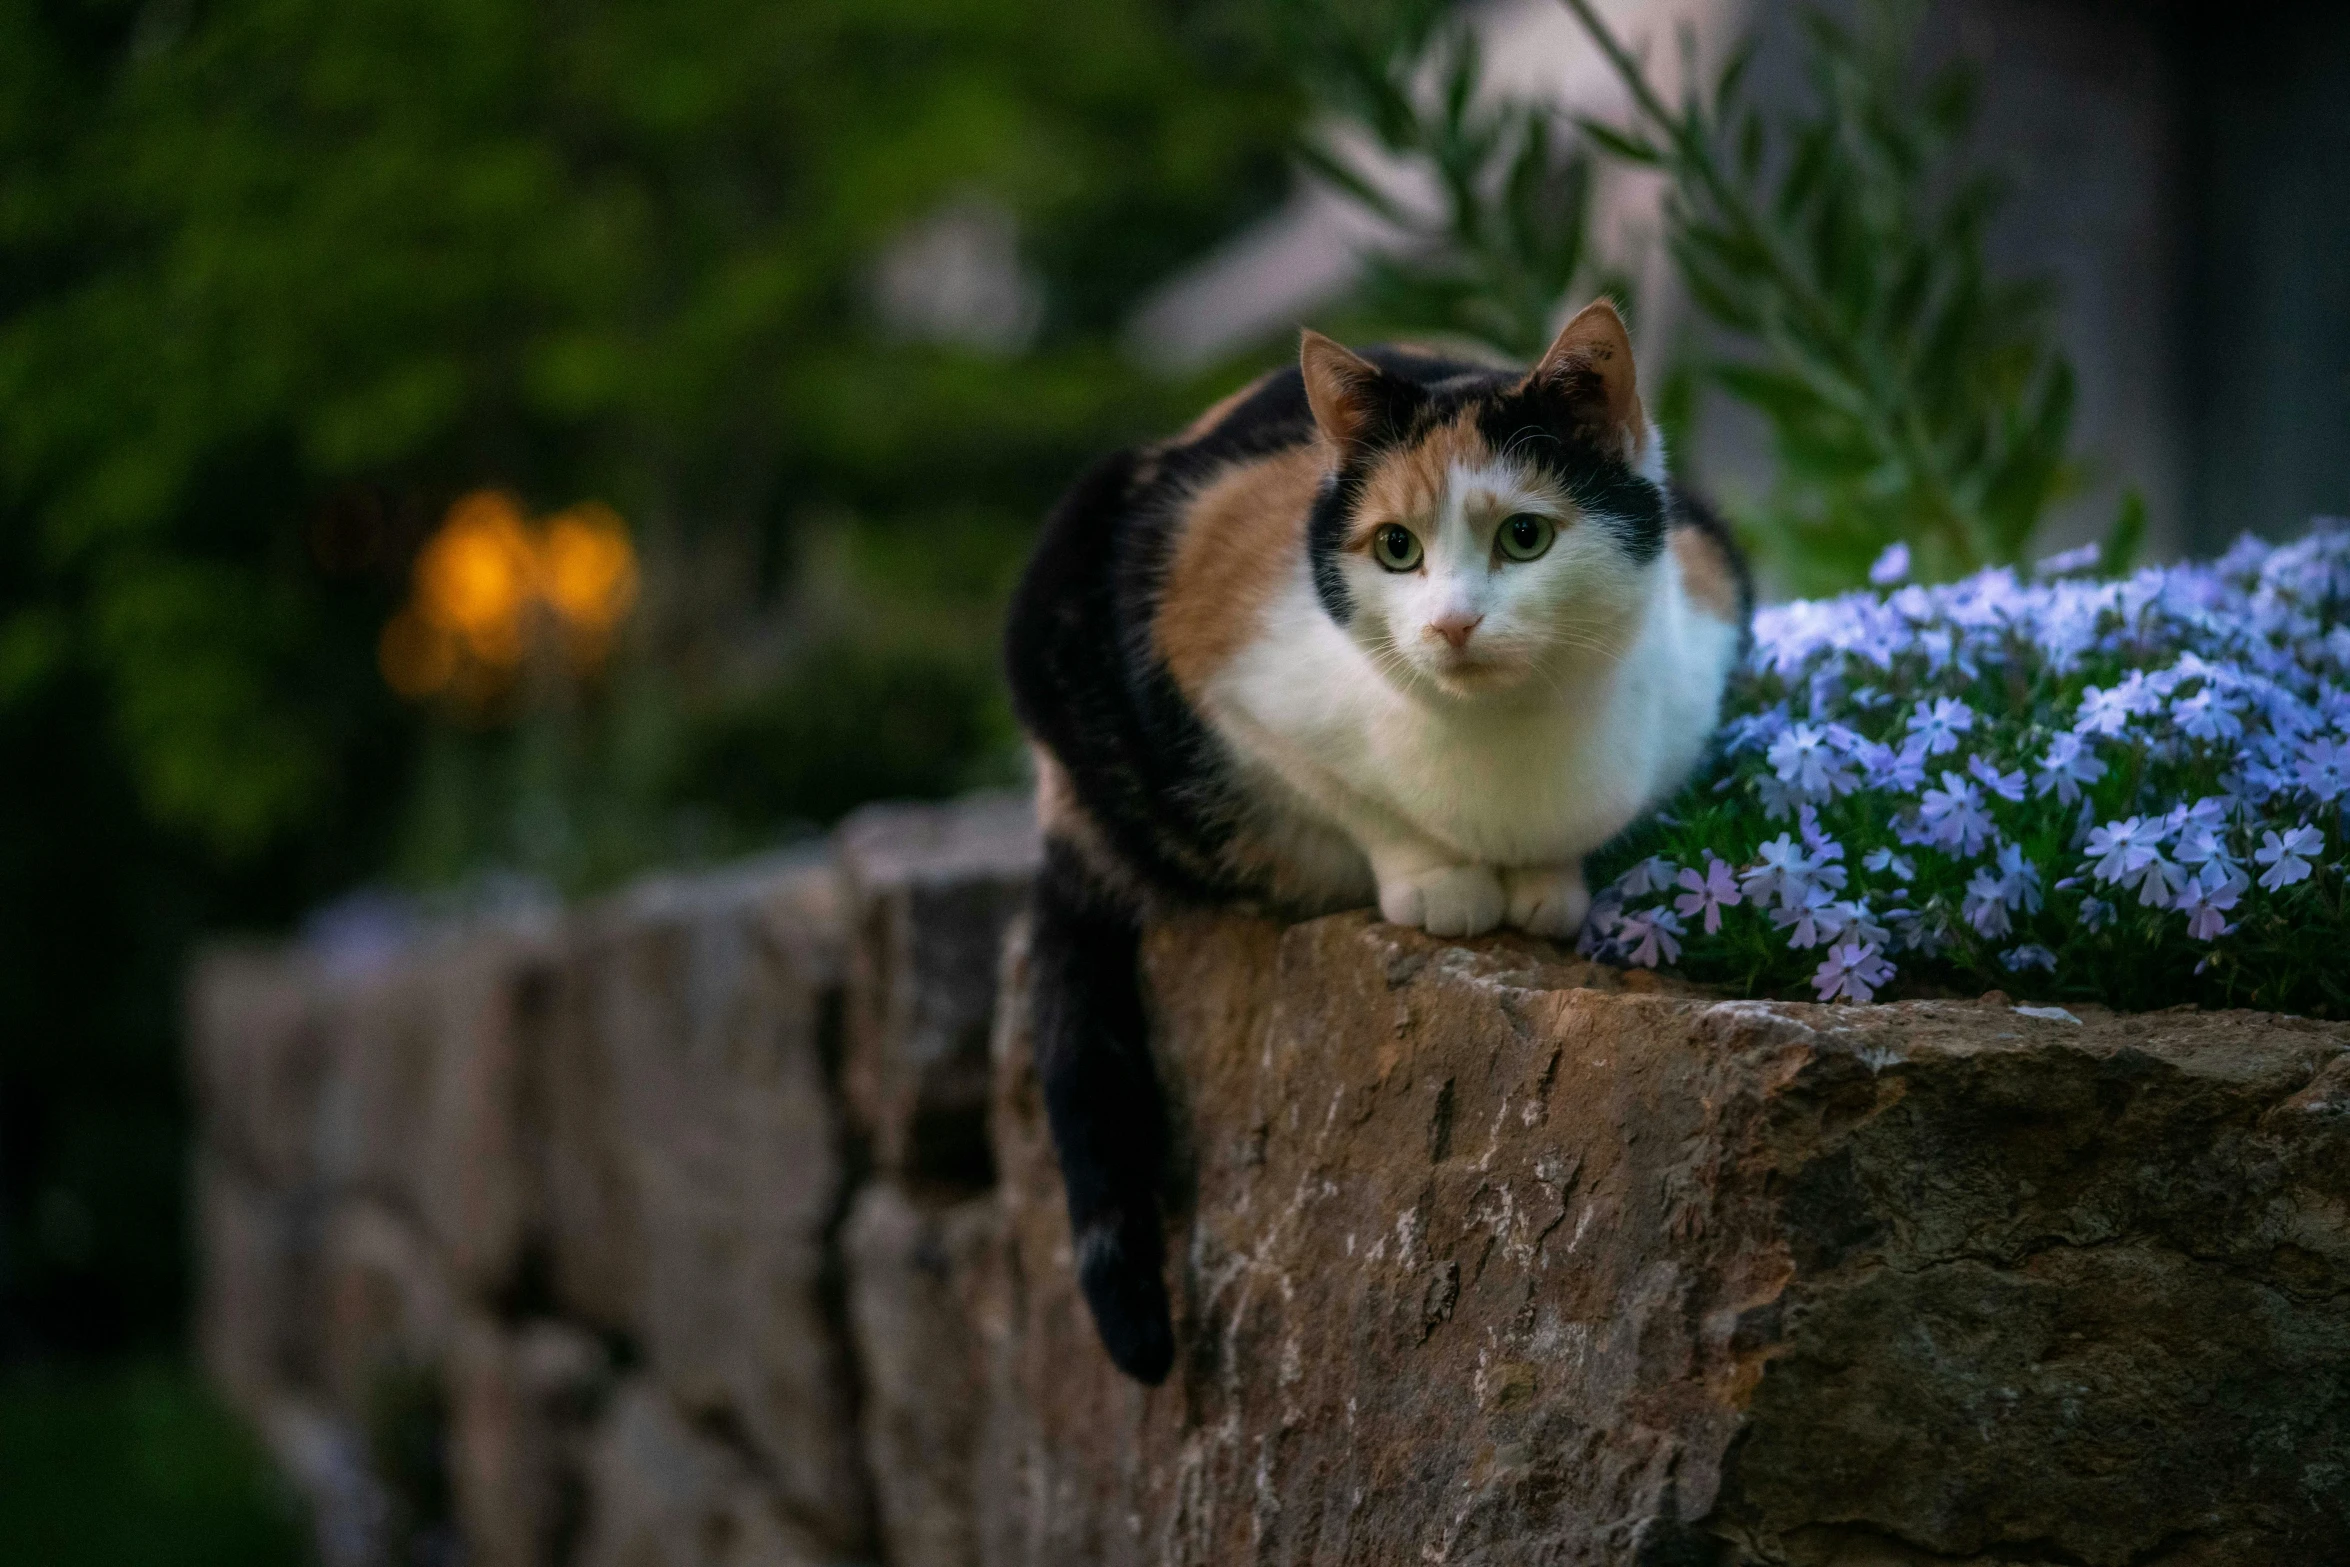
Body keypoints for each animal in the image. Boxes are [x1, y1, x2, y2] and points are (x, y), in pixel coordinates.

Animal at [1001, 300, 1757, 1381]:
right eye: (1395, 549)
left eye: (1525, 535)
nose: (1450, 625)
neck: (1509, 754)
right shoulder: (1234, 688)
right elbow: (1357, 805)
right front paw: (1441, 880)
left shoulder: (1711, 626)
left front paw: (1550, 883)